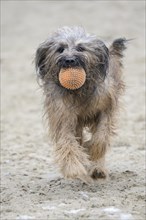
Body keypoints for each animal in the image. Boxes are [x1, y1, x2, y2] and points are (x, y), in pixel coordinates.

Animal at [35, 26, 126, 183]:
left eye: (80, 48)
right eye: (60, 49)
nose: (69, 60)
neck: (79, 90)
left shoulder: (106, 108)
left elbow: (101, 135)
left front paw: (93, 151)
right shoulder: (63, 116)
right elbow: (67, 141)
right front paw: (73, 167)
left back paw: (98, 169)